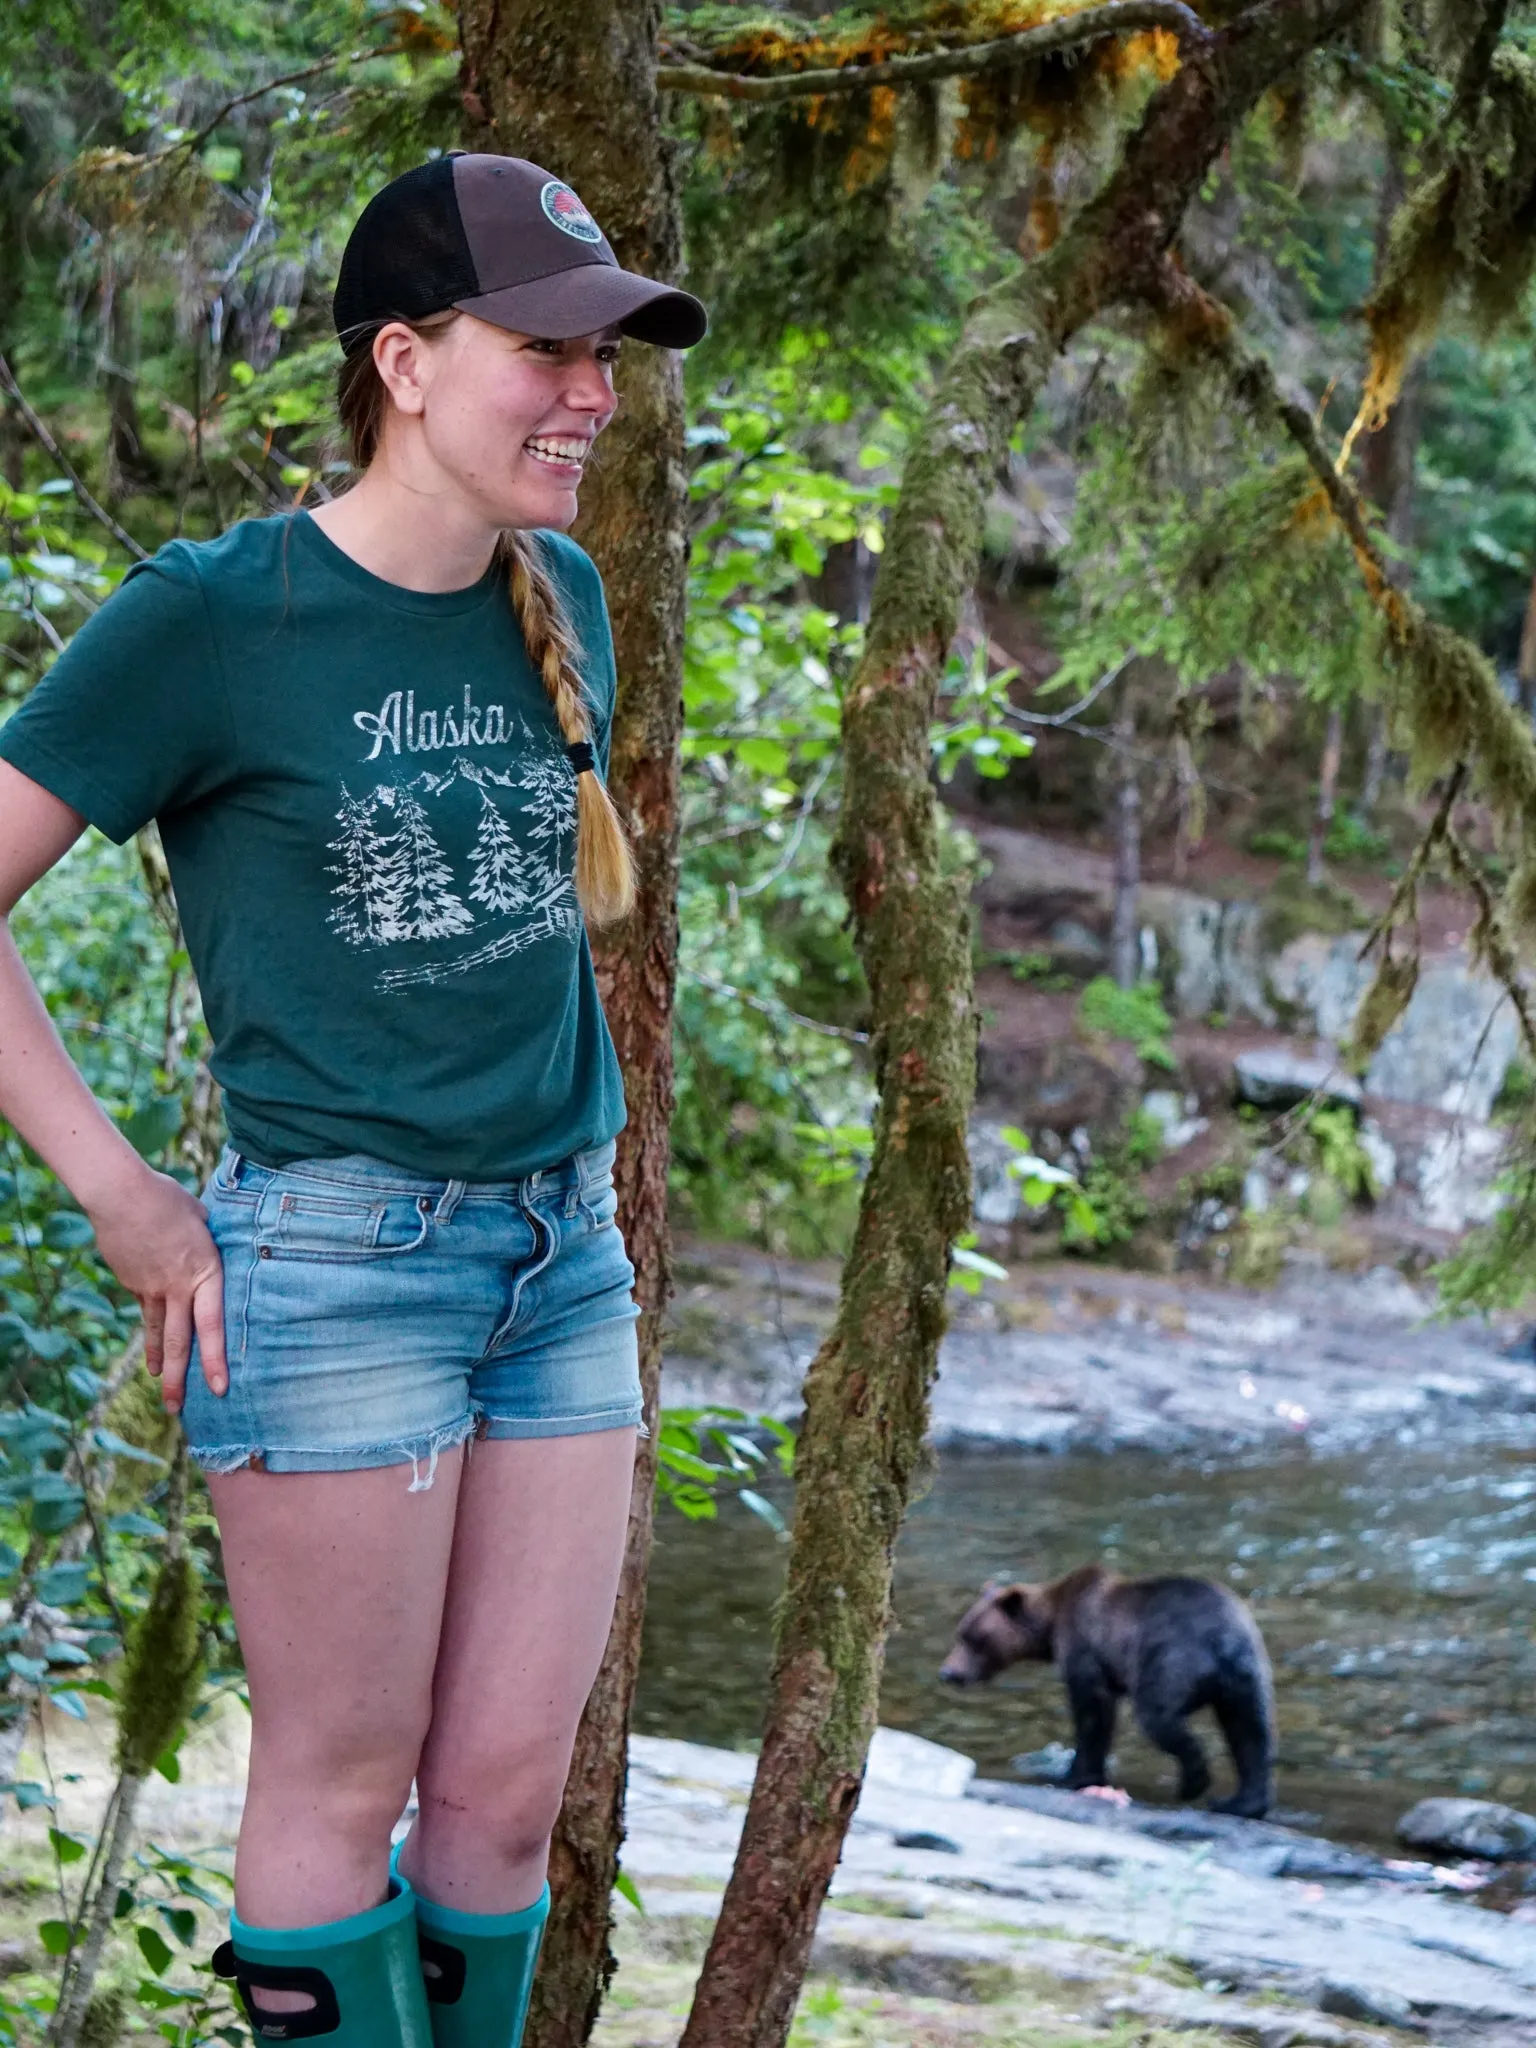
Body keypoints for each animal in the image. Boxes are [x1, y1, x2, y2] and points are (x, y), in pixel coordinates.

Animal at [946, 1556, 1277, 1818]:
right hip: (1247, 1678)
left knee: (1159, 1718)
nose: (948, 1672)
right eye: (961, 1632)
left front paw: (1075, 1774)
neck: (1052, 1625)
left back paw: (1193, 1783)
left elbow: (1092, 1712)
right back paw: (1240, 1803)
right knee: (1251, 1734)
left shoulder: (1085, 1647)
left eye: (974, 1638)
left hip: (1169, 1659)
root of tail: (1224, 1640)